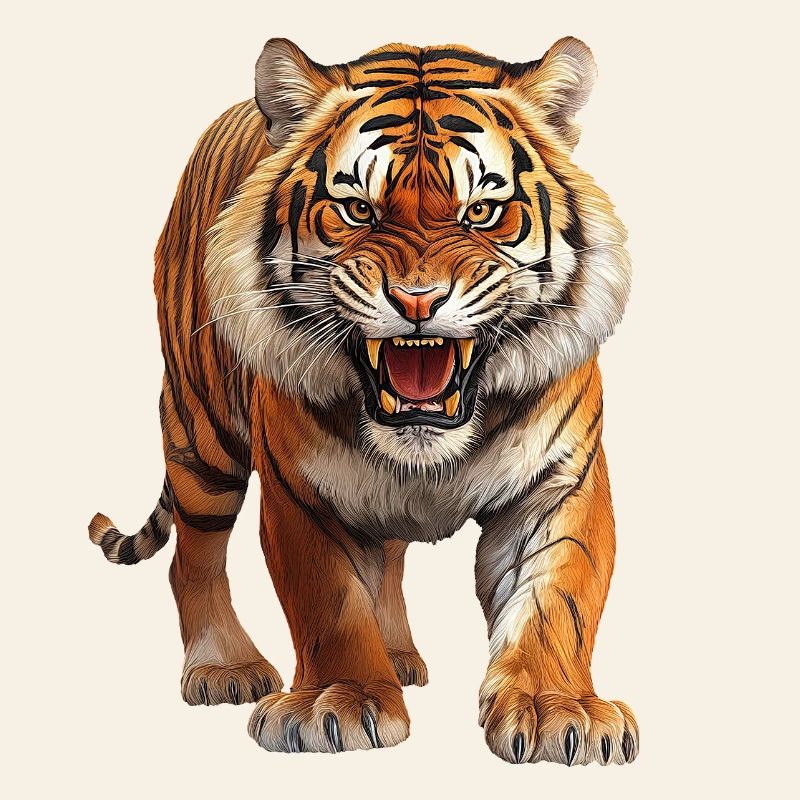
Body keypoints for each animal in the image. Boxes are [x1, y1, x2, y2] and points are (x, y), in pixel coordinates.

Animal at [88, 36, 637, 764]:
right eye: (357, 211)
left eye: (481, 212)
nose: (417, 301)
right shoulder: (301, 489)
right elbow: (329, 600)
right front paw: (338, 702)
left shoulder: (560, 482)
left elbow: (559, 598)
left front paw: (558, 710)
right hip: (202, 433)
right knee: (193, 554)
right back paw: (223, 667)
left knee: (390, 554)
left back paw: (399, 656)